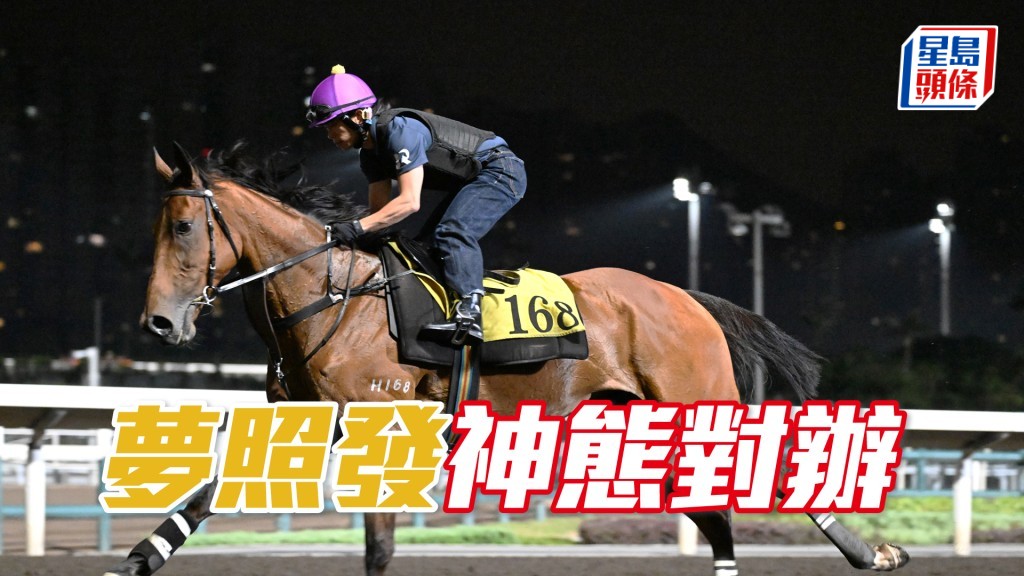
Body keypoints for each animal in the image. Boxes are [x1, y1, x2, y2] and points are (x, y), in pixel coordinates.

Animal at [104, 143, 908, 576]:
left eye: (183, 228)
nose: (158, 321)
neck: (328, 298)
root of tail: (686, 296)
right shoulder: (306, 421)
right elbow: (208, 497)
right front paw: (140, 555)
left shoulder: (376, 422)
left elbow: (377, 543)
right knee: (714, 513)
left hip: (699, 401)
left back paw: (868, 552)